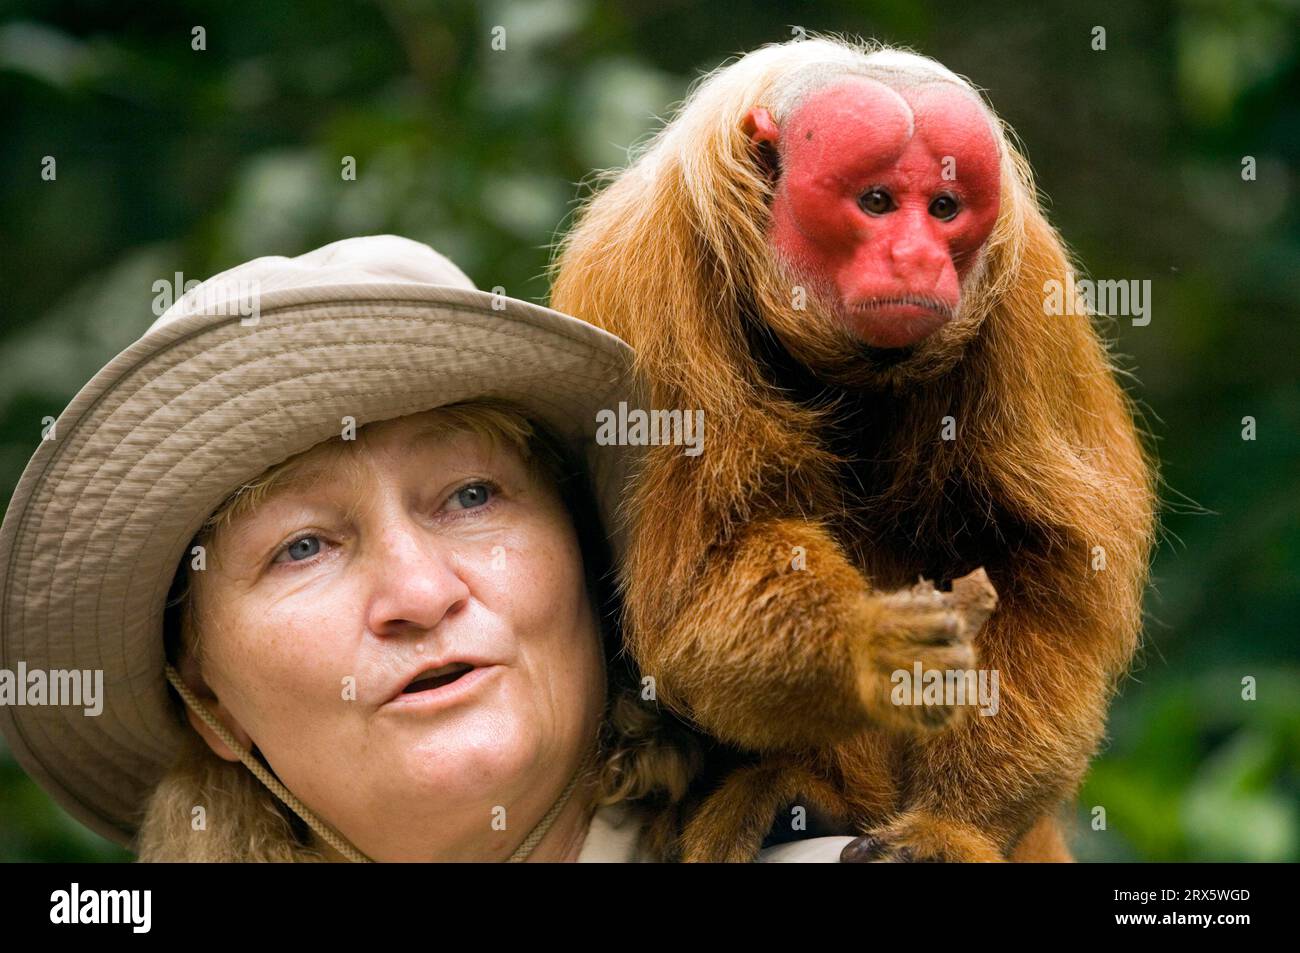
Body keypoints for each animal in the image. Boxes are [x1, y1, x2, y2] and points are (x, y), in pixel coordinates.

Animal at [548, 35, 1159, 863]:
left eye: (943, 209)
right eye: (876, 202)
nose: (917, 257)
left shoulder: (1026, 289)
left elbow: (1047, 572)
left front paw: (950, 826)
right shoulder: (652, 284)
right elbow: (699, 578)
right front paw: (873, 649)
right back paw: (805, 795)